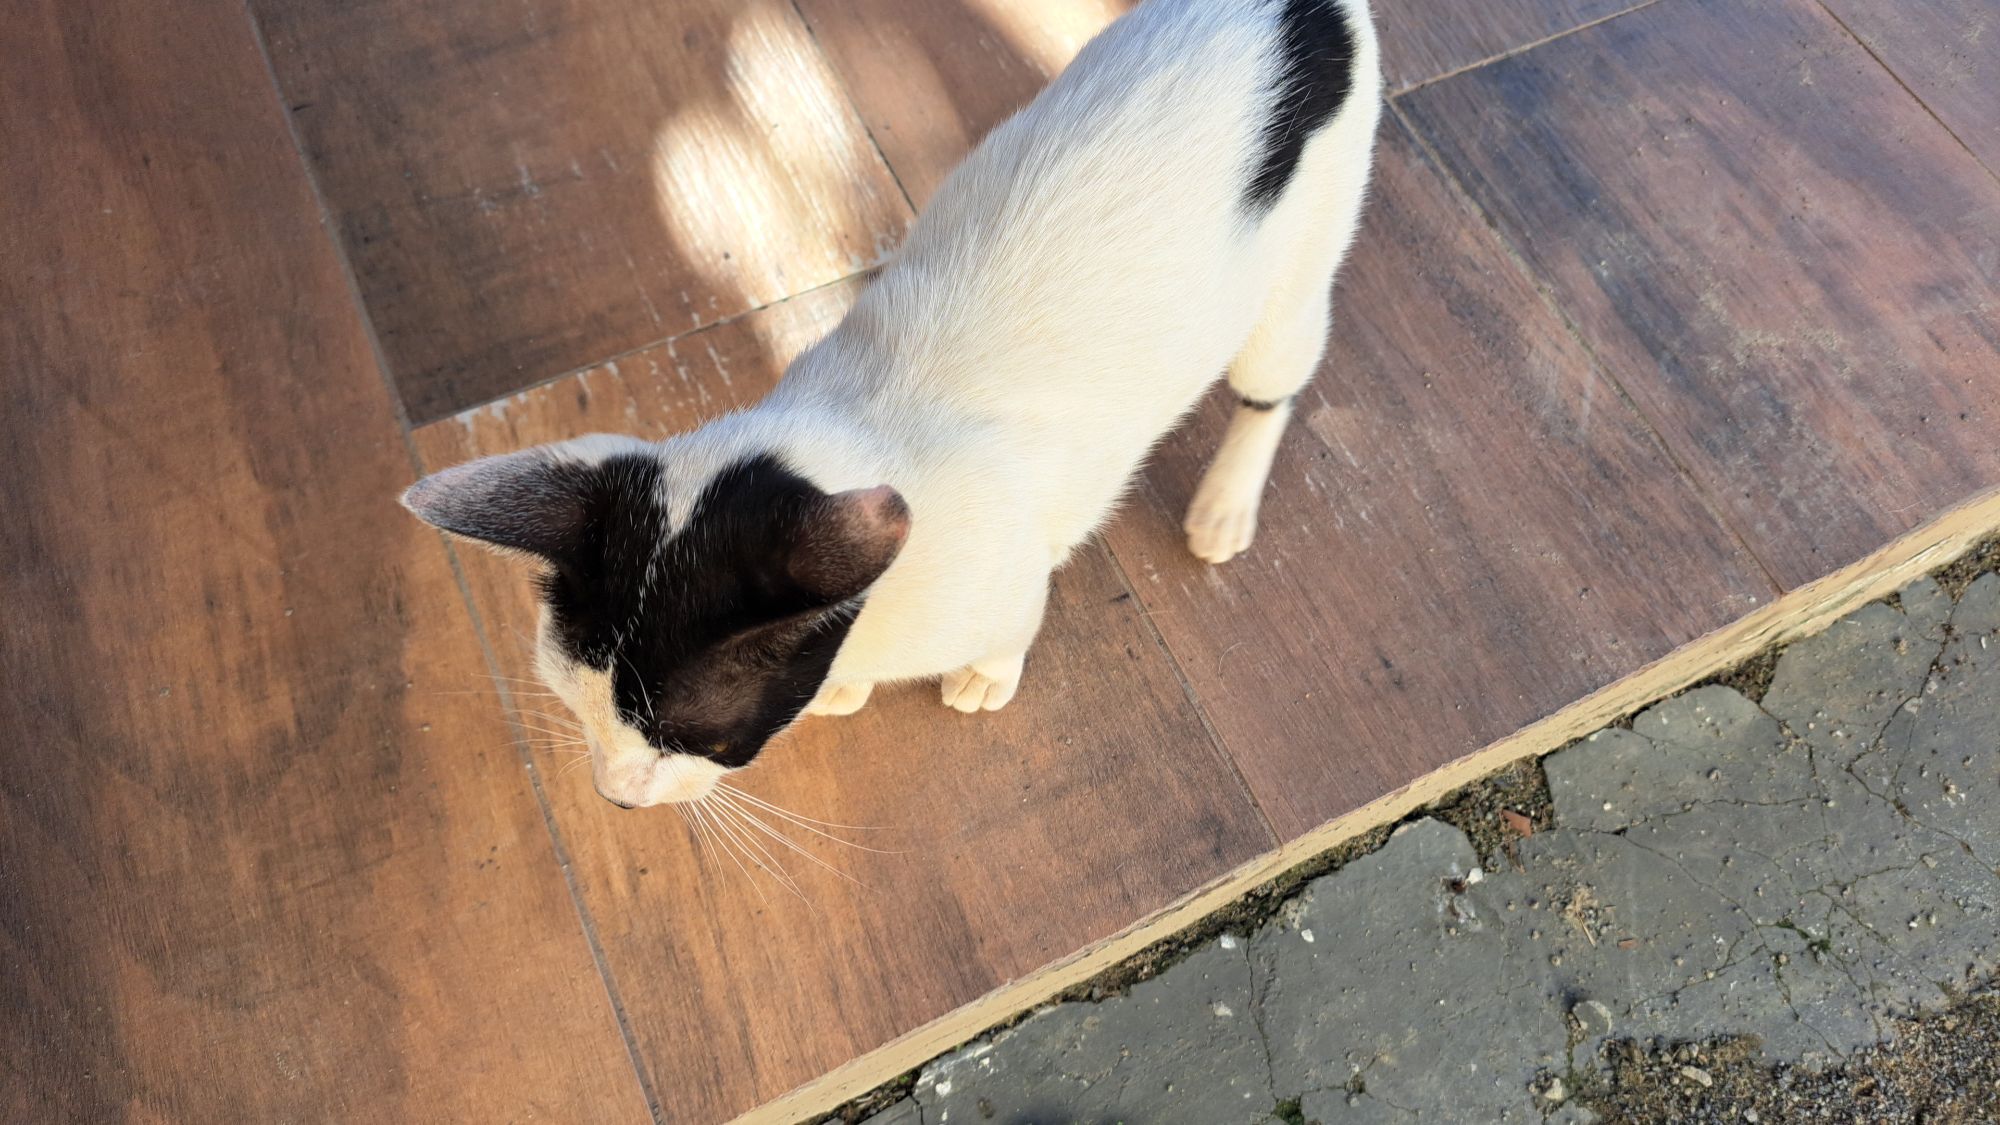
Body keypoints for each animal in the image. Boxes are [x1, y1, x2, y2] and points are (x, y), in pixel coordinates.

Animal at [403, 0, 1382, 809]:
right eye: (571, 706)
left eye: (697, 738)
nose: (615, 796)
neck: (854, 423)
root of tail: (1296, 8)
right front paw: (842, 684)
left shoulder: (1008, 569)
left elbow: (1015, 619)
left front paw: (987, 673)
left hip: (1295, 276)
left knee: (1274, 381)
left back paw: (1224, 505)